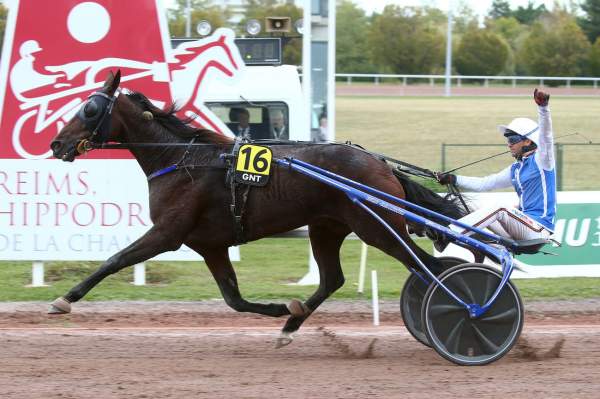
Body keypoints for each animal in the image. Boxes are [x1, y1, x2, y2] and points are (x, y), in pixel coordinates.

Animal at [50, 72, 464, 346]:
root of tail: (381, 164)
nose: (57, 144)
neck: (180, 160)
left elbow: (114, 260)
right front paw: (283, 309)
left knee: (431, 268)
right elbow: (233, 298)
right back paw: (291, 326)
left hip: (376, 228)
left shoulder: (168, 233)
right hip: (326, 227)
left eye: (89, 109)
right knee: (333, 279)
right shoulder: (210, 244)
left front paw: (64, 300)